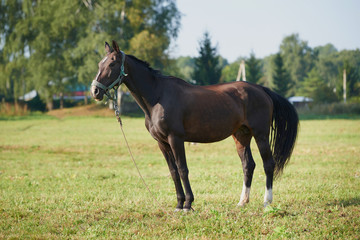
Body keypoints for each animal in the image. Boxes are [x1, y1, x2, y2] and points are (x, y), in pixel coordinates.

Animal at [90, 40, 298, 212]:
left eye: (112, 63)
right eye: (100, 64)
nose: (95, 91)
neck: (158, 97)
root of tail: (261, 89)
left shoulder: (176, 139)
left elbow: (183, 169)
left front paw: (188, 204)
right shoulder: (162, 143)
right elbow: (173, 171)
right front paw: (179, 204)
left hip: (260, 135)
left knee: (268, 164)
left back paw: (267, 202)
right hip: (241, 136)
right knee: (248, 165)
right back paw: (242, 202)